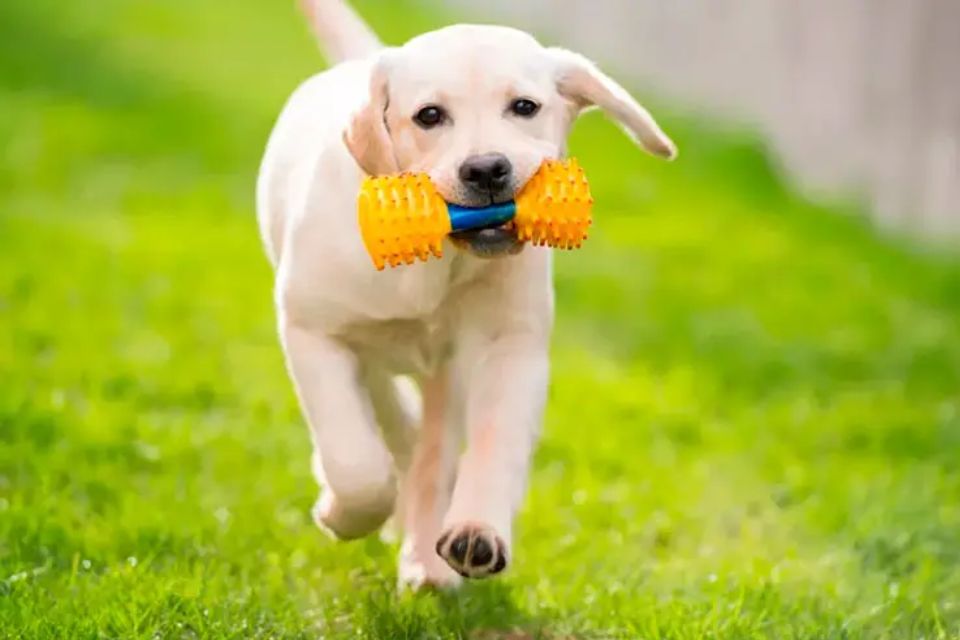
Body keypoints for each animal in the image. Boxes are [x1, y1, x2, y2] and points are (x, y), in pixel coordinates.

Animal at [255, 0, 676, 592]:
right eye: (429, 116)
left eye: (524, 107)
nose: (487, 169)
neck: (440, 259)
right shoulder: (310, 330)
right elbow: (356, 463)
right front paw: (341, 514)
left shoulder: (511, 347)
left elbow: (496, 445)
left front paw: (477, 532)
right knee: (387, 417)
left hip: (446, 371)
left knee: (430, 450)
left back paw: (426, 560)